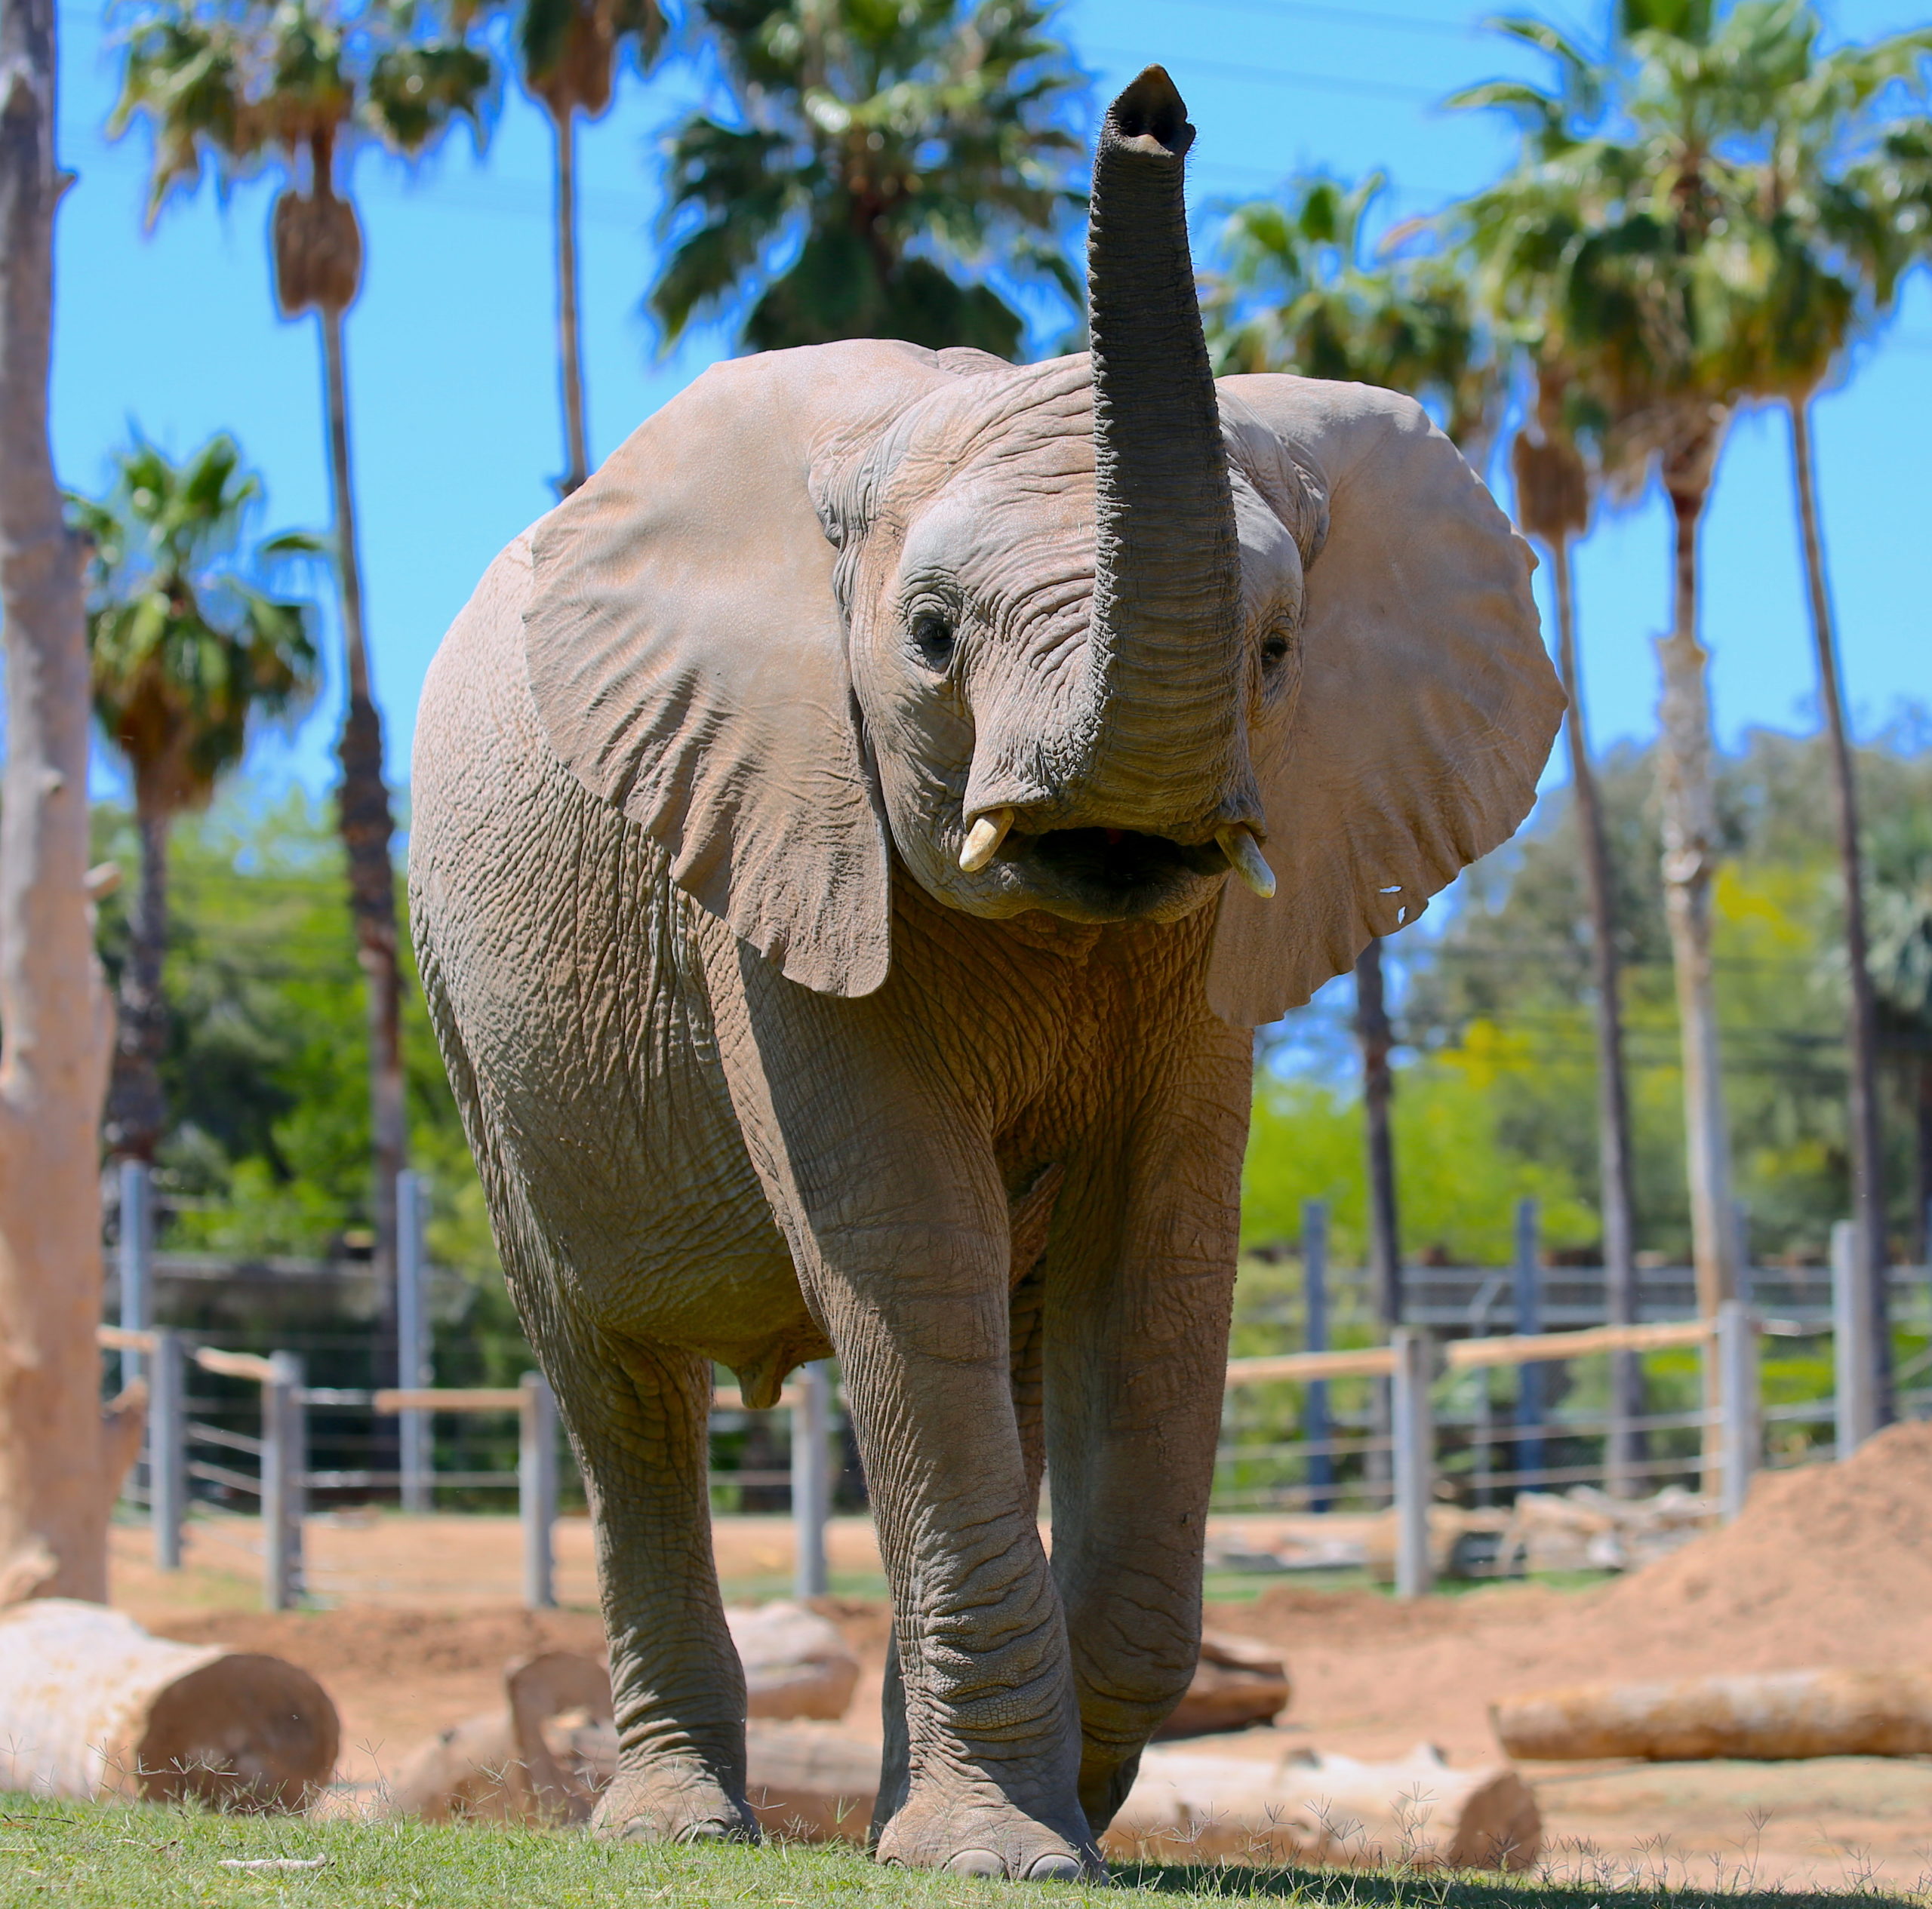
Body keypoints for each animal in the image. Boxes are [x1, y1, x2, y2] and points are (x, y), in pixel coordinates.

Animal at [411, 66, 1568, 1886]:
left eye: (1279, 650)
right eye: (933, 637)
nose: (1152, 112)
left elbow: (1158, 1263)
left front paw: (1021, 1817)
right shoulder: (769, 831)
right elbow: (907, 1242)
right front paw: (1002, 1850)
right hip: (470, 1019)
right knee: (620, 1392)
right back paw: (681, 1825)